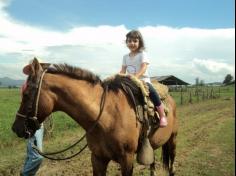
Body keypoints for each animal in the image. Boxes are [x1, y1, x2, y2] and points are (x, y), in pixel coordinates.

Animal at [11, 58, 177, 176]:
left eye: (26, 94)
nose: (15, 128)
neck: (107, 117)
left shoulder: (127, 159)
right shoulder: (97, 159)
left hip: (173, 139)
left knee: (172, 166)